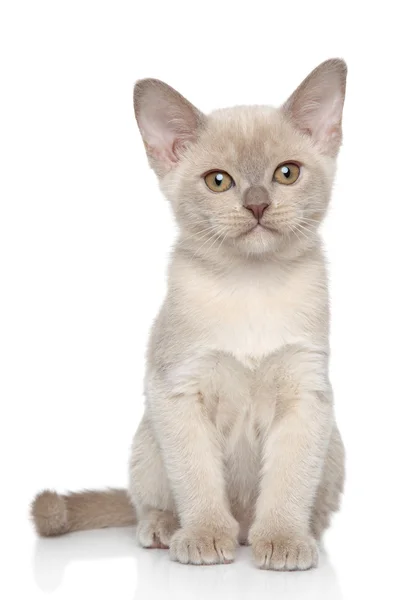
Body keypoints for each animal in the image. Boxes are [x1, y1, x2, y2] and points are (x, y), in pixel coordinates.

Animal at [31, 59, 348, 572]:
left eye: (286, 173)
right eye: (218, 181)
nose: (257, 204)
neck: (250, 285)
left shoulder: (306, 393)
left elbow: (287, 483)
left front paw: (283, 542)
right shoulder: (178, 391)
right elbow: (198, 479)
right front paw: (204, 538)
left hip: (333, 444)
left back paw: (290, 537)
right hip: (149, 438)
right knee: (148, 502)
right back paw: (169, 530)